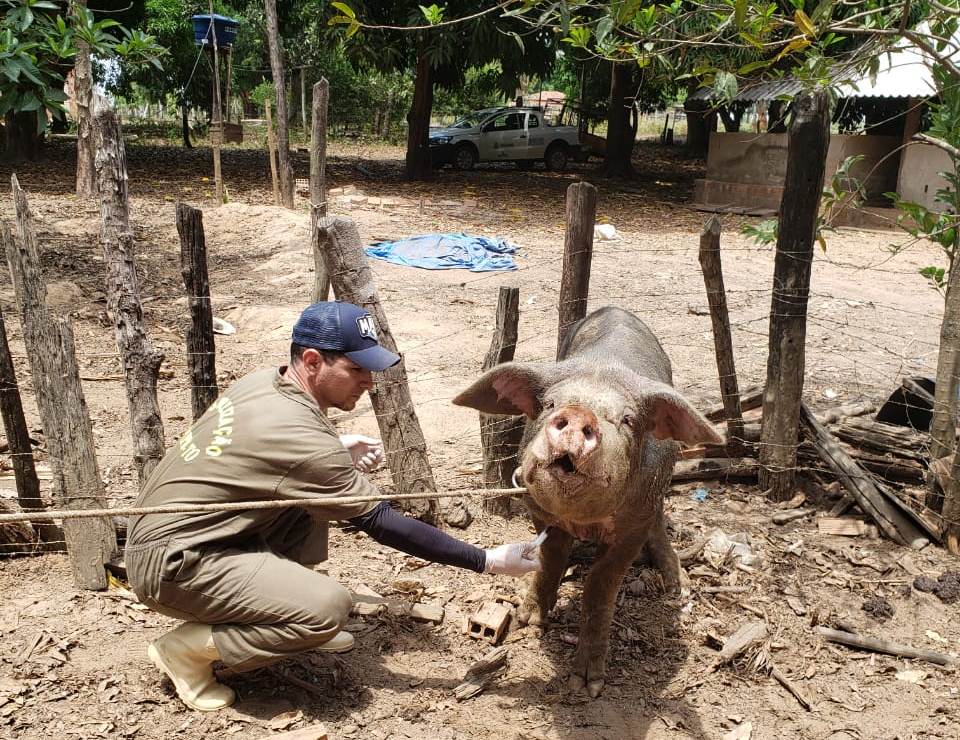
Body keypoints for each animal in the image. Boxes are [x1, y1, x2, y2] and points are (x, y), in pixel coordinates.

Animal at [456, 304, 720, 696]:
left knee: (659, 518)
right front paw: (526, 622)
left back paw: (677, 587)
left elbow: (601, 585)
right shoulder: (538, 509)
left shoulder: (632, 527)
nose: (580, 413)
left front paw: (587, 686)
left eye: (627, 419)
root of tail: (616, 309)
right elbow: (550, 558)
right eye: (550, 404)